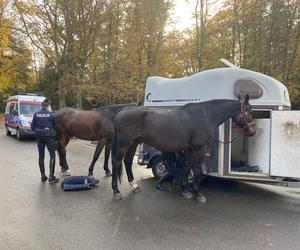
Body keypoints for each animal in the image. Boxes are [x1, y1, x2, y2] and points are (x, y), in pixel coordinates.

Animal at [110, 94, 255, 200]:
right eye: (248, 112)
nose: (253, 132)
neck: (205, 116)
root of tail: (122, 111)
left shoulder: (190, 150)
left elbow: (187, 168)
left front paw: (186, 190)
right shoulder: (199, 149)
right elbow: (197, 171)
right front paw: (198, 193)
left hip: (133, 143)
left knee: (128, 162)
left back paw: (134, 186)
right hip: (124, 143)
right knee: (116, 162)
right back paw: (116, 192)